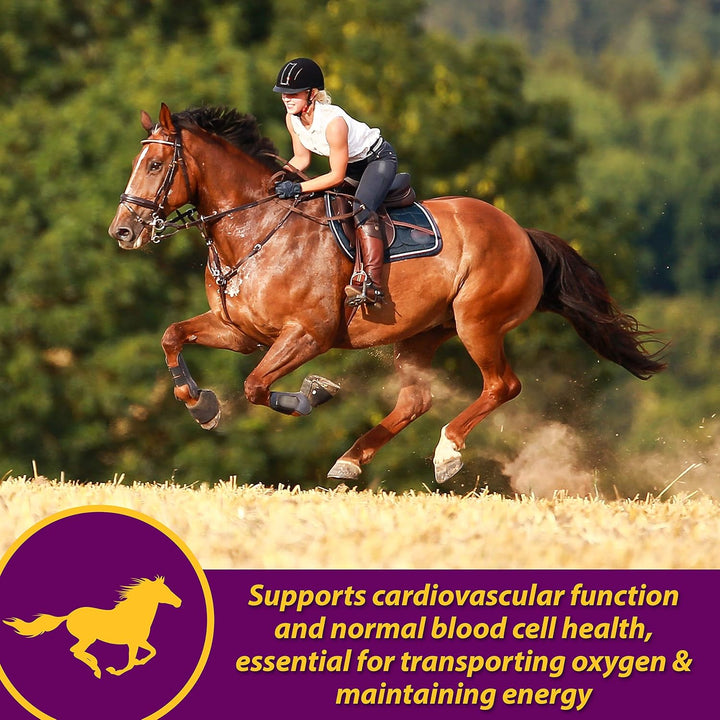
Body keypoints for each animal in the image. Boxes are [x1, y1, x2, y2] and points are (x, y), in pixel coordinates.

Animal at [3, 576, 181, 678]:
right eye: (164, 591)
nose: (179, 602)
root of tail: (69, 615)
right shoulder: (132, 643)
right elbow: (130, 662)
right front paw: (115, 671)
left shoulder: (140, 641)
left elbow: (153, 652)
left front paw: (139, 662)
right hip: (88, 638)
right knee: (75, 650)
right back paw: (96, 668)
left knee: (76, 651)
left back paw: (96, 666)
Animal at [108, 103, 666, 485]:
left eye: (155, 166)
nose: (122, 231)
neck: (256, 228)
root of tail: (522, 234)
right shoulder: (240, 331)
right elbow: (172, 336)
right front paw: (201, 405)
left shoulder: (308, 334)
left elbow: (256, 386)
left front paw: (315, 392)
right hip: (422, 332)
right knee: (417, 398)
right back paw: (350, 460)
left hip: (477, 322)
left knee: (501, 385)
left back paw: (446, 454)